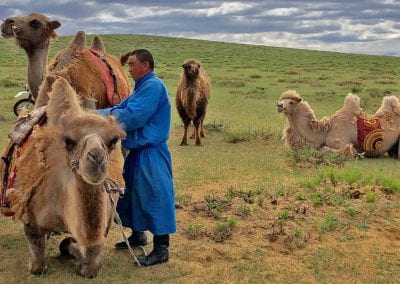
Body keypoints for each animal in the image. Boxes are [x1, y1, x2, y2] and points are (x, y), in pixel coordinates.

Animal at [4, 77, 125, 278]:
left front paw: (73, 251)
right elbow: (37, 264)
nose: (97, 159)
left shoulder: (104, 222)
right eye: (69, 141)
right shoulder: (30, 216)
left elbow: (91, 261)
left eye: (113, 141)